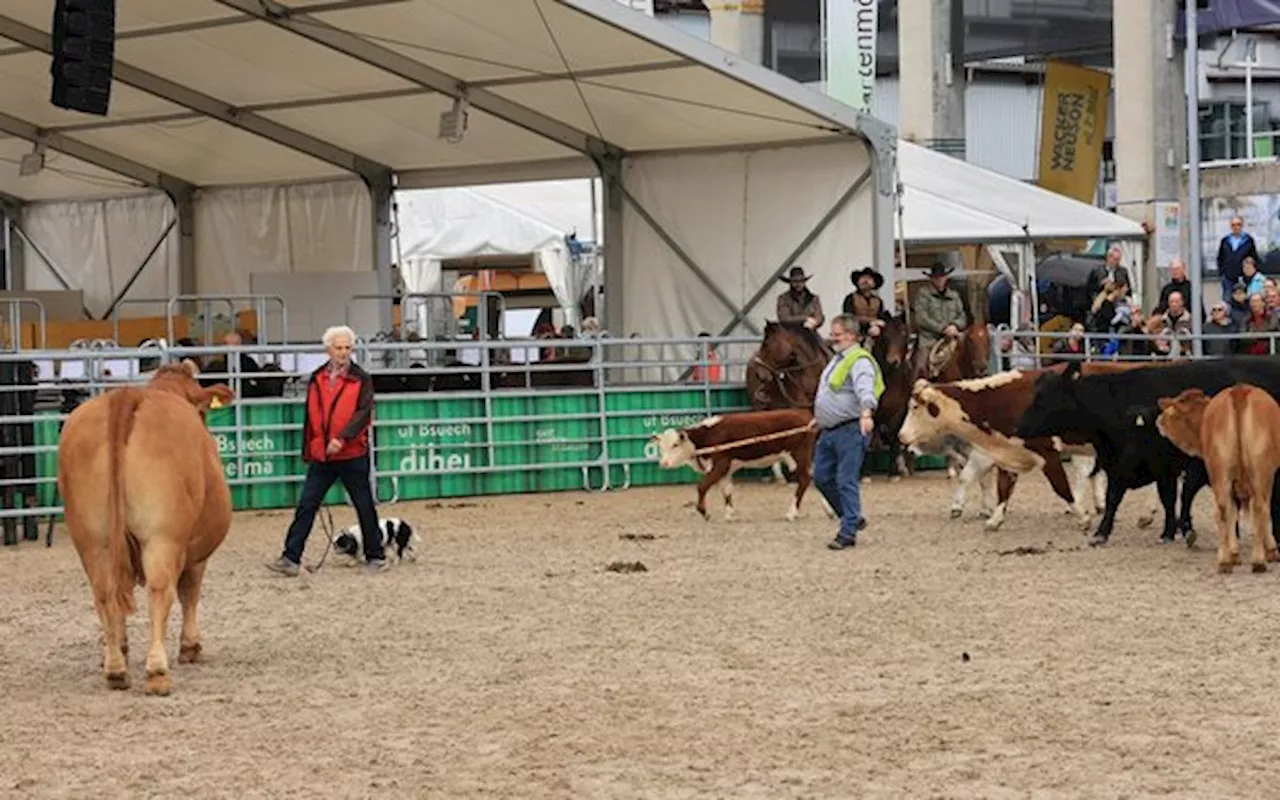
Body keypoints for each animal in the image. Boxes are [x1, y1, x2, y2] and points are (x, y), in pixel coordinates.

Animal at [57, 360, 235, 691]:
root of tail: (128, 396)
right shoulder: (196, 552)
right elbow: (190, 593)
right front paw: (190, 646)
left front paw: (123, 647)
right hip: (162, 536)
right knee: (160, 590)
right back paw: (157, 671)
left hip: (92, 540)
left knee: (105, 592)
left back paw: (115, 667)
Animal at [650, 409, 829, 522]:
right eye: (661, 447)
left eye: (675, 445)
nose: (663, 463)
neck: (706, 437)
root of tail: (804, 415)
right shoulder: (726, 470)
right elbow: (727, 490)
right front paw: (729, 514)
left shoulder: (720, 464)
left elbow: (702, 486)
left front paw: (704, 512)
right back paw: (829, 510)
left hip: (797, 455)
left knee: (805, 480)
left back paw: (792, 513)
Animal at [1018, 358, 1280, 545]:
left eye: (1043, 398)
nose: (1019, 426)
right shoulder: (1130, 465)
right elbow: (1147, 498)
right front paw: (1166, 531)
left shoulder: (1158, 464)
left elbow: (1163, 496)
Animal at [1152, 386, 1280, 573]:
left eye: (1173, 413)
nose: (1158, 420)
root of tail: (1239, 391)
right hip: (1256, 472)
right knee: (1256, 507)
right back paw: (1256, 561)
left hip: (1225, 472)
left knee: (1226, 509)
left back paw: (1227, 561)